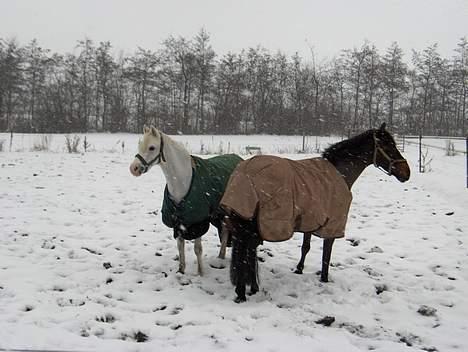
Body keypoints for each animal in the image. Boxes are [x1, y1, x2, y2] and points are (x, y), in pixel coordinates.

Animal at [132, 126, 241, 276]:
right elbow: (180, 246)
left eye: (152, 147)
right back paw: (220, 257)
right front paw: (181, 270)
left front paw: (200, 273)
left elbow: (198, 249)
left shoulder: (198, 222)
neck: (182, 181)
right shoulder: (177, 222)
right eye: (139, 145)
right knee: (224, 231)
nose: (134, 168)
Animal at [223, 124, 410, 302]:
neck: (340, 173)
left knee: (248, 253)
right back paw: (243, 293)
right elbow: (326, 253)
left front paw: (299, 269)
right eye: (388, 145)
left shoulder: (311, 218)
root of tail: (244, 171)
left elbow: (306, 247)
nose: (406, 173)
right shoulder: (332, 224)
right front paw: (324, 279)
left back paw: (251, 288)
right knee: (246, 253)